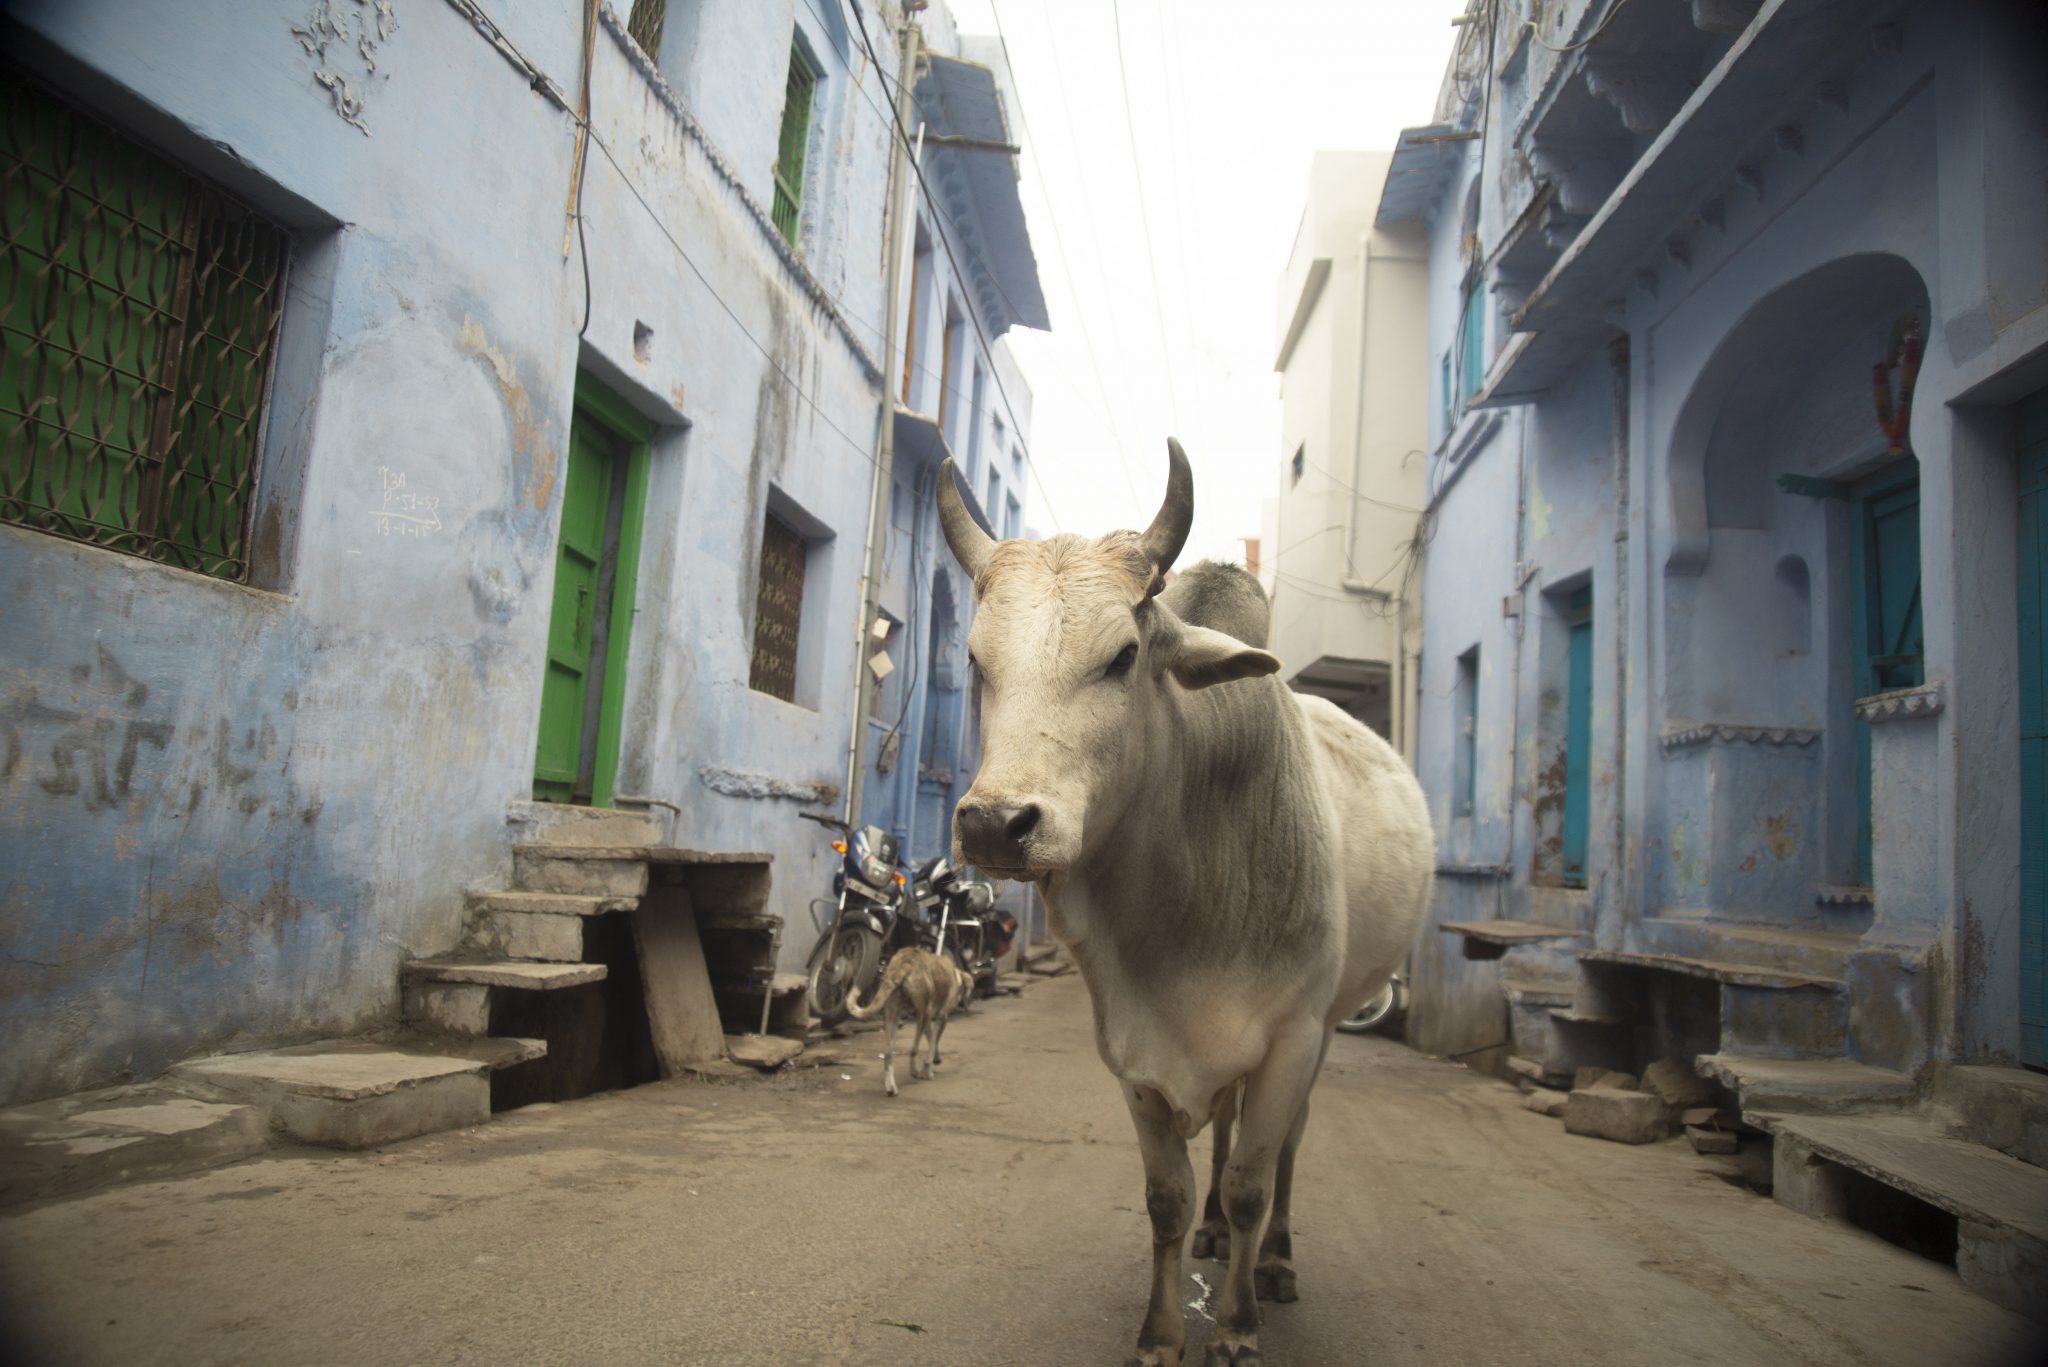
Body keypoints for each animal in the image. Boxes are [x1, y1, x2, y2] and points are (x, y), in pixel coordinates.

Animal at [847, 946, 974, 1098]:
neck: (956, 975)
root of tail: (904, 962)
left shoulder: (928, 1019)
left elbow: (931, 1040)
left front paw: (935, 1059)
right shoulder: (941, 1017)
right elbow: (933, 1043)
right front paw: (928, 1070)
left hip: (892, 1015)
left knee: (888, 1053)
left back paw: (891, 1087)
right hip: (922, 1013)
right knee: (913, 1049)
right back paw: (914, 1072)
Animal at [937, 444, 1433, 1360]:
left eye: (1123, 656)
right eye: (978, 661)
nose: (995, 823)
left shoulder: (1291, 1038)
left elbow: (1250, 1183)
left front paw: (1235, 1323)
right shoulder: (1132, 1051)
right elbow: (1166, 1196)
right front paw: (1162, 1329)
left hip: (1325, 1028)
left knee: (1285, 1149)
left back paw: (1272, 1259)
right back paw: (1214, 1236)